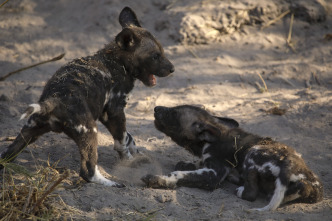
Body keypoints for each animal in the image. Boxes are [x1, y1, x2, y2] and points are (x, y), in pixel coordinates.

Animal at [0, 6, 175, 186]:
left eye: (162, 52)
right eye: (155, 56)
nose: (172, 69)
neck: (118, 61)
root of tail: (54, 99)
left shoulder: (106, 114)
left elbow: (127, 136)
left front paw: (135, 150)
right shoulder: (115, 111)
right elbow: (121, 143)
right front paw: (130, 162)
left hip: (29, 130)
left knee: (6, 156)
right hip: (90, 132)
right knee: (87, 171)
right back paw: (111, 183)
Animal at [141, 105, 322, 211]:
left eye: (173, 112)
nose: (156, 108)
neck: (209, 140)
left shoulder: (214, 174)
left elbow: (179, 175)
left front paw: (158, 180)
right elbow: (192, 165)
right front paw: (187, 164)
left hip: (253, 152)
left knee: (251, 194)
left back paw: (241, 190)